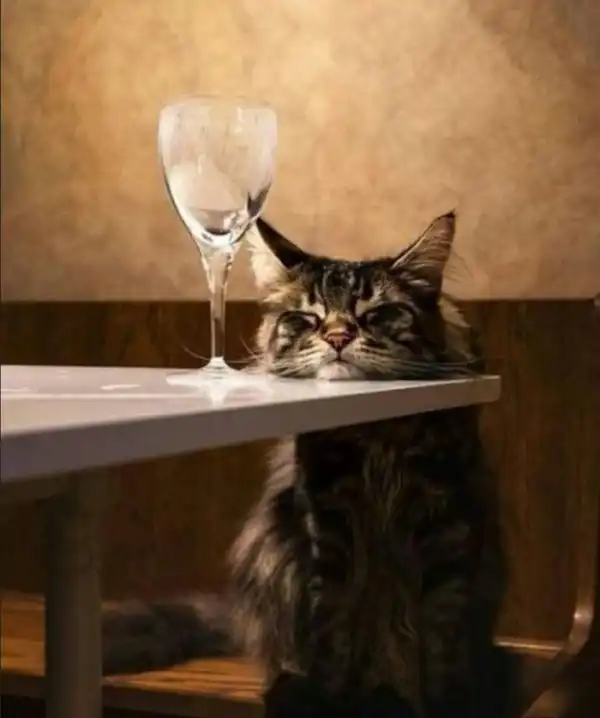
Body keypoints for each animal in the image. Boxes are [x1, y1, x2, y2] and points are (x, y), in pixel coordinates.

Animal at [102, 212, 512, 718]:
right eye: (308, 318)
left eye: (374, 314)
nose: (337, 337)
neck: (375, 434)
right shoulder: (327, 517)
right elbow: (332, 625)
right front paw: (325, 697)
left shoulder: (447, 519)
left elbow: (441, 637)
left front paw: (450, 702)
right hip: (273, 550)